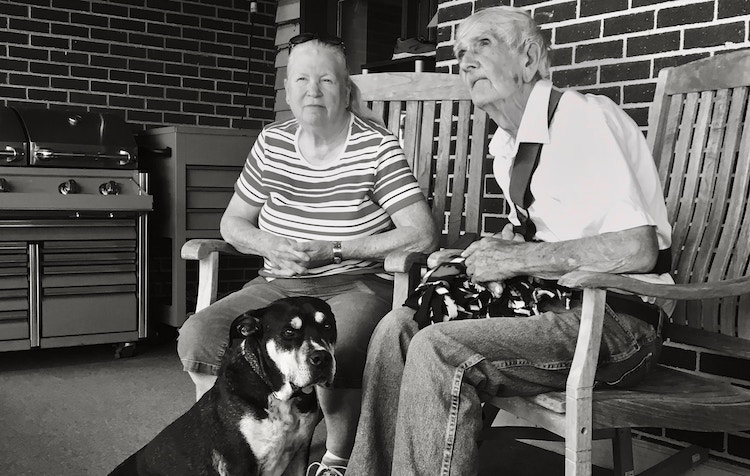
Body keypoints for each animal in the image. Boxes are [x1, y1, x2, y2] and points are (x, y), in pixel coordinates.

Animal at [108, 298, 338, 476]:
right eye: (289, 332)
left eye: (328, 327)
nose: (322, 358)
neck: (278, 395)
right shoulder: (240, 464)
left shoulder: (299, 453)